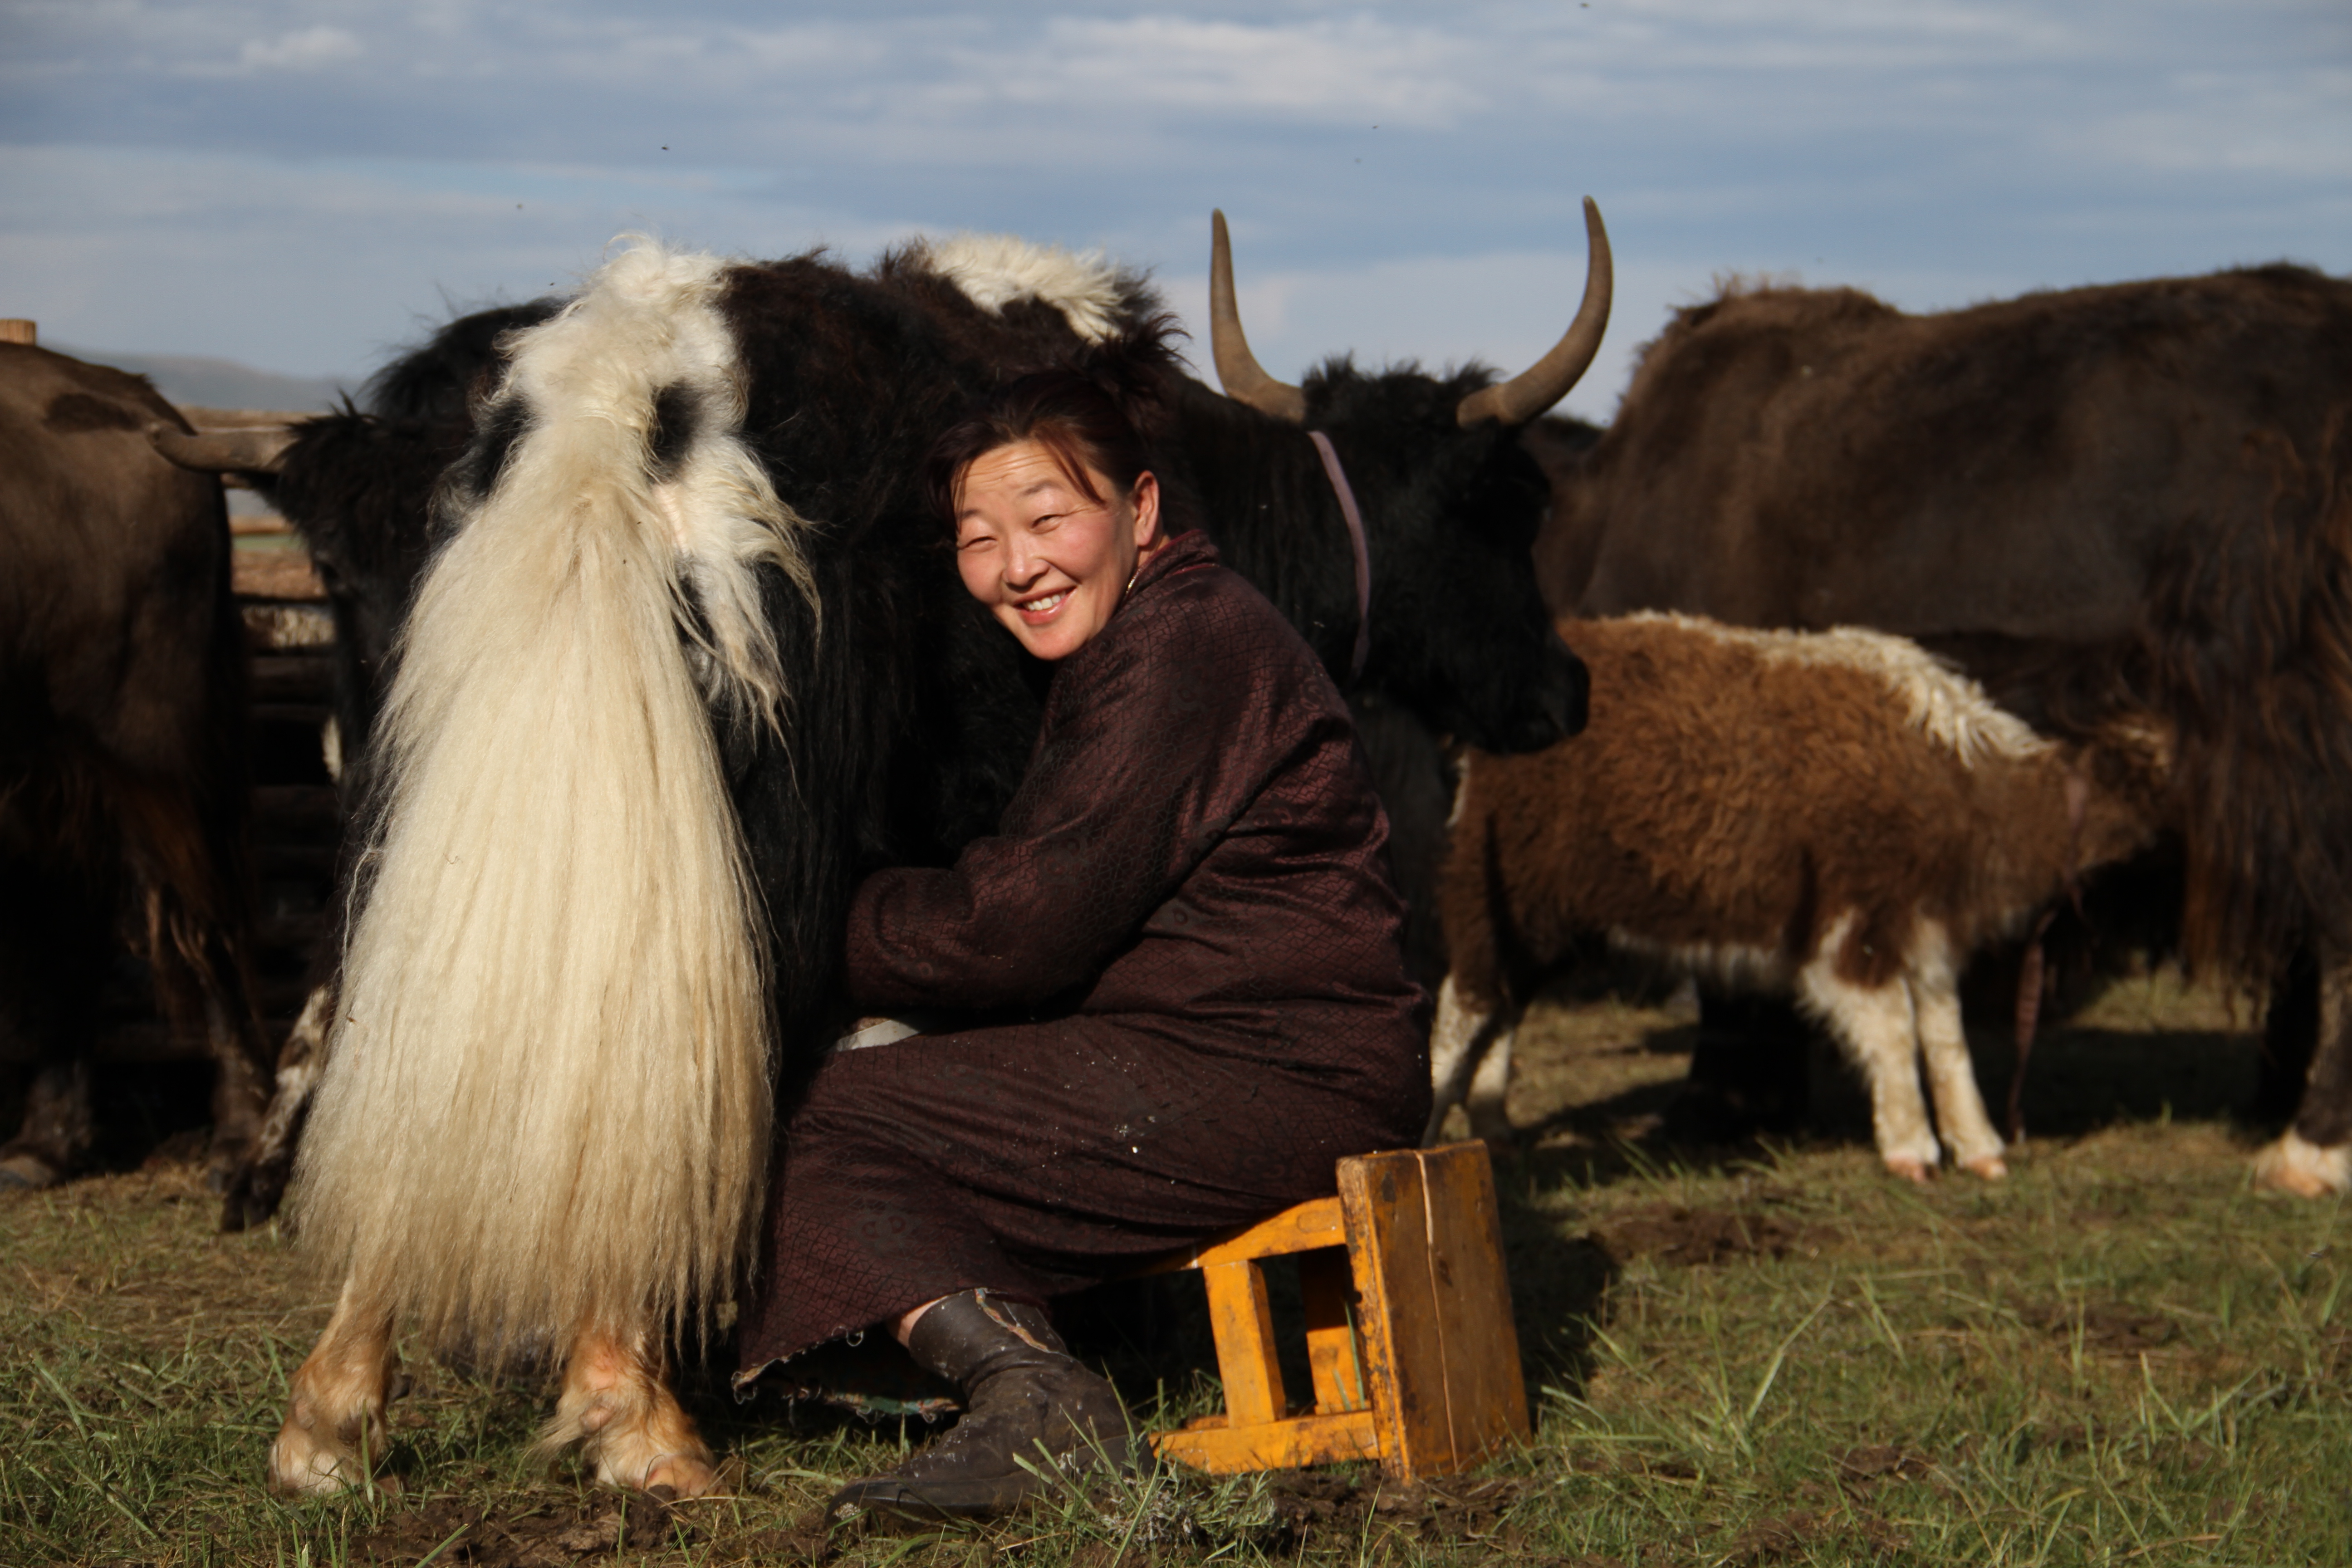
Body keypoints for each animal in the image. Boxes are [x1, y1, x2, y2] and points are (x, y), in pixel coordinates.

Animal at [1430, 620, 2164, 1185]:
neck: (1960, 782)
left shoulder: (1925, 931)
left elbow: (1944, 1034)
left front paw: (1979, 1146)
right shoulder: (1851, 927)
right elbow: (1894, 1031)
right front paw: (1913, 1147)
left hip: (1545, 918)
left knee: (1504, 1008)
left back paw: (1495, 1127)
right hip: (1492, 892)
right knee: (1463, 1006)